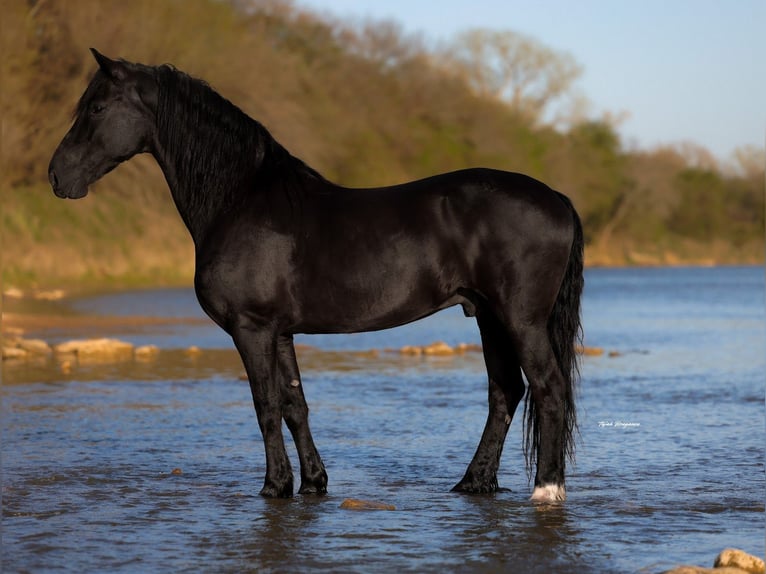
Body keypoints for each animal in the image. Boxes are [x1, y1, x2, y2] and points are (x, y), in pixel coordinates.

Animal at [49, 49, 584, 502]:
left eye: (97, 107)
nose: (57, 176)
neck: (239, 200)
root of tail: (557, 197)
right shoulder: (281, 331)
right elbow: (294, 406)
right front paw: (312, 483)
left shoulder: (252, 328)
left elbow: (265, 405)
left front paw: (273, 486)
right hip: (488, 316)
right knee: (506, 392)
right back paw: (473, 483)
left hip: (520, 319)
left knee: (548, 388)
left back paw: (546, 490)